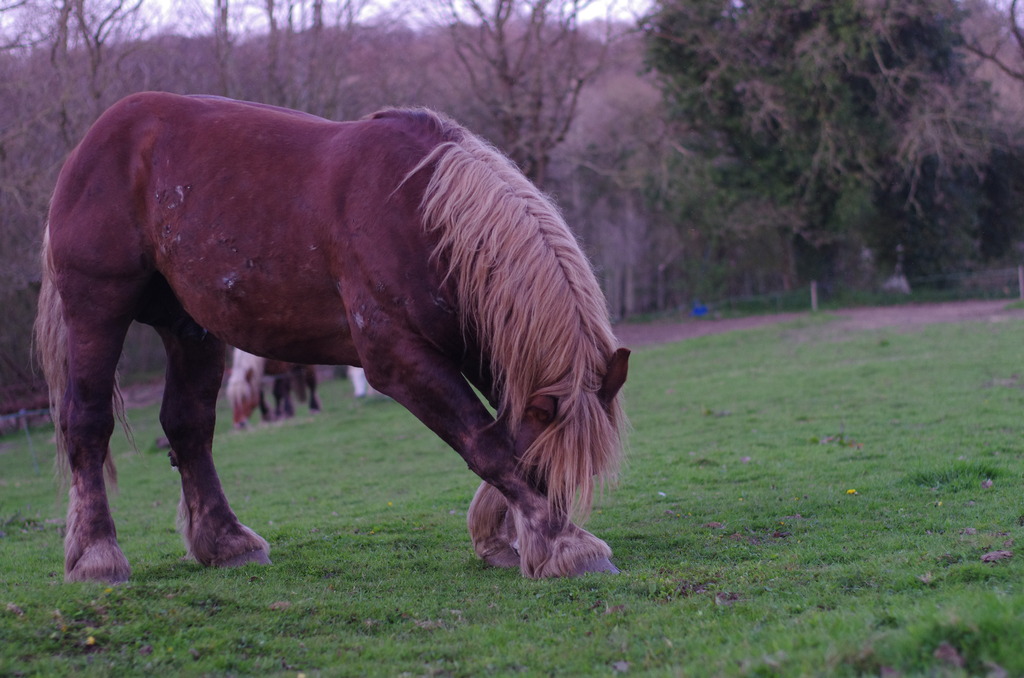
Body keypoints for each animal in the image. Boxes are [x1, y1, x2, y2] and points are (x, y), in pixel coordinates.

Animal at [32, 93, 626, 585]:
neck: (423, 216)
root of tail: (94, 141)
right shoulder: (398, 359)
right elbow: (490, 447)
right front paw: (566, 545)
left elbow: (498, 437)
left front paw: (500, 538)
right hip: (96, 309)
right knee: (86, 424)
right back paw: (97, 558)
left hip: (190, 328)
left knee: (188, 427)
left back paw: (226, 543)